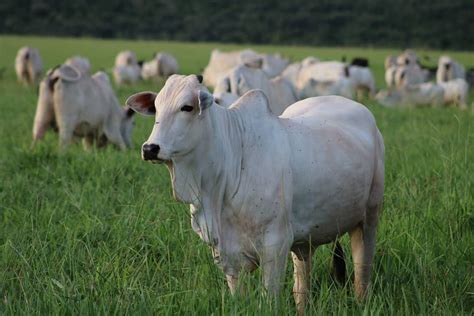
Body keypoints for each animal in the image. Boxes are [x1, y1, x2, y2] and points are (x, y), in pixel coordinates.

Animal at [127, 73, 386, 314]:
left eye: (186, 107)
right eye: (156, 107)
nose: (150, 148)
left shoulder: (275, 245)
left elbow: (268, 299)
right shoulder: (227, 252)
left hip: (368, 217)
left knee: (362, 270)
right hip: (306, 240)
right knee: (302, 282)